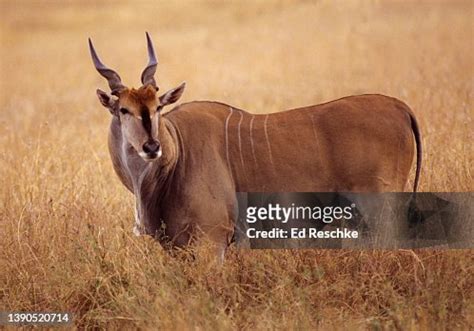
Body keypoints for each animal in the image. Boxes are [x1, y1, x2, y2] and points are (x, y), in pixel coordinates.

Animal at [89, 31, 422, 260]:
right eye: (123, 110)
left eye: (158, 106)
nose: (151, 146)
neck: (177, 153)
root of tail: (398, 106)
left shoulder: (212, 242)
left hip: (381, 211)